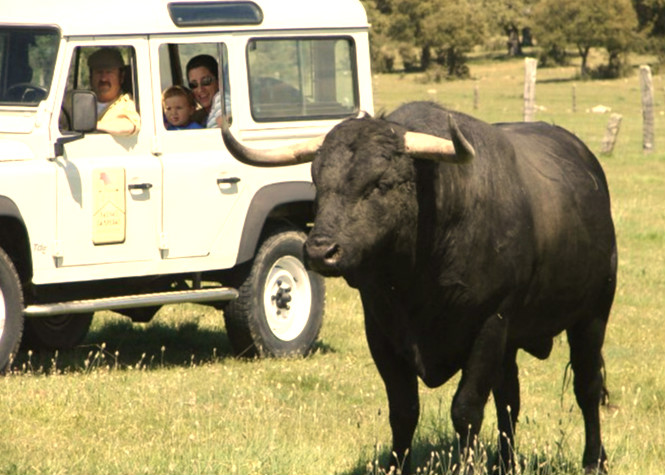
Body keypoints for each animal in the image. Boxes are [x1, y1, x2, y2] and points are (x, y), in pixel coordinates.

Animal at [223, 102, 616, 474]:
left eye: (380, 184)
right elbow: (403, 409)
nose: (320, 250)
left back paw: (594, 460)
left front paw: (465, 467)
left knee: (586, 387)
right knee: (509, 399)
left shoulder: (490, 323)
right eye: (317, 183)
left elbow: (466, 409)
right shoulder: (381, 330)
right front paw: (397, 466)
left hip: (592, 315)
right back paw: (504, 463)